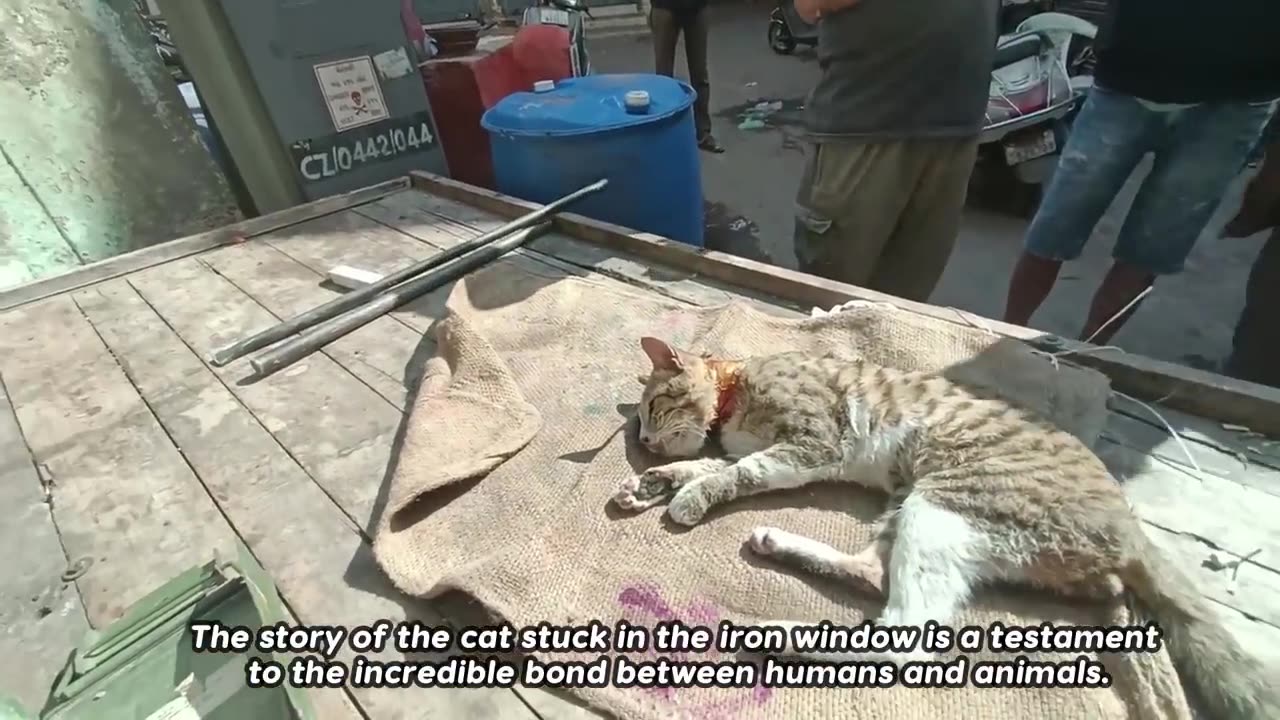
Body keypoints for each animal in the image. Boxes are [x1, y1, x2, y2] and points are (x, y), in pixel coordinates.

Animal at [614, 335, 1274, 717]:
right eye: (641, 420)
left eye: (652, 408)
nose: (644, 442)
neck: (738, 390)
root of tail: (1129, 523)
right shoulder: (775, 449)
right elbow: (708, 464)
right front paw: (652, 484)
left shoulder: (810, 445)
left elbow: (736, 472)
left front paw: (686, 495)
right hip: (911, 507)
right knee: (874, 578)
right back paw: (780, 551)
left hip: (941, 508)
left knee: (904, 637)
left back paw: (777, 633)